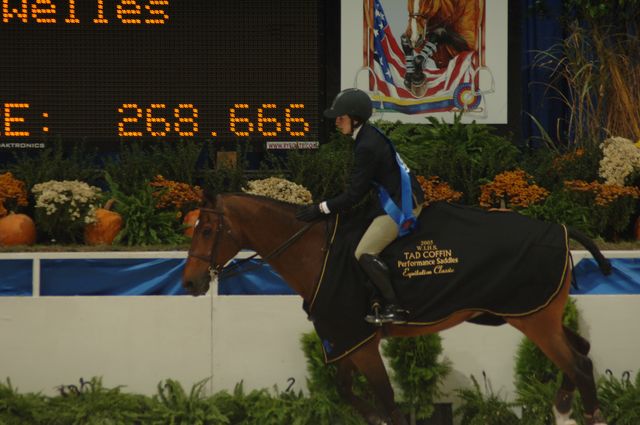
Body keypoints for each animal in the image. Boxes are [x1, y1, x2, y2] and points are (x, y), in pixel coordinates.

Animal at [184, 193, 608, 424]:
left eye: (206, 231)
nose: (189, 283)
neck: (315, 252)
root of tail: (559, 230)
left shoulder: (360, 342)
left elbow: (386, 398)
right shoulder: (344, 338)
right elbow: (346, 389)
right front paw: (371, 418)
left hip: (533, 319)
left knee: (578, 364)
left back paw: (584, 414)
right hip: (539, 315)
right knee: (582, 353)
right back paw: (564, 408)